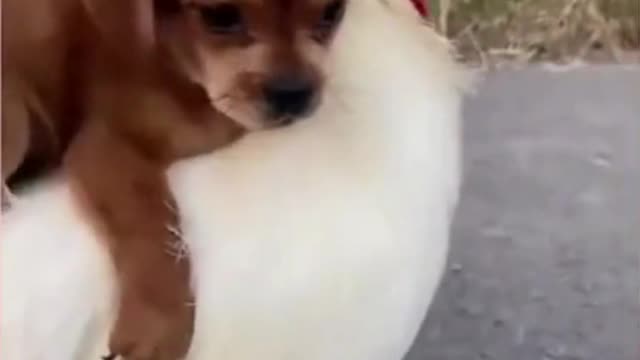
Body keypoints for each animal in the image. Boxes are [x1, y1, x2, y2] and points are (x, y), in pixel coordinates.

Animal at [2, 0, 348, 358]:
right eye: (220, 17)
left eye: (332, 12)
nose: (294, 93)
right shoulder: (105, 147)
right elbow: (153, 225)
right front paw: (157, 322)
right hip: (14, 120)